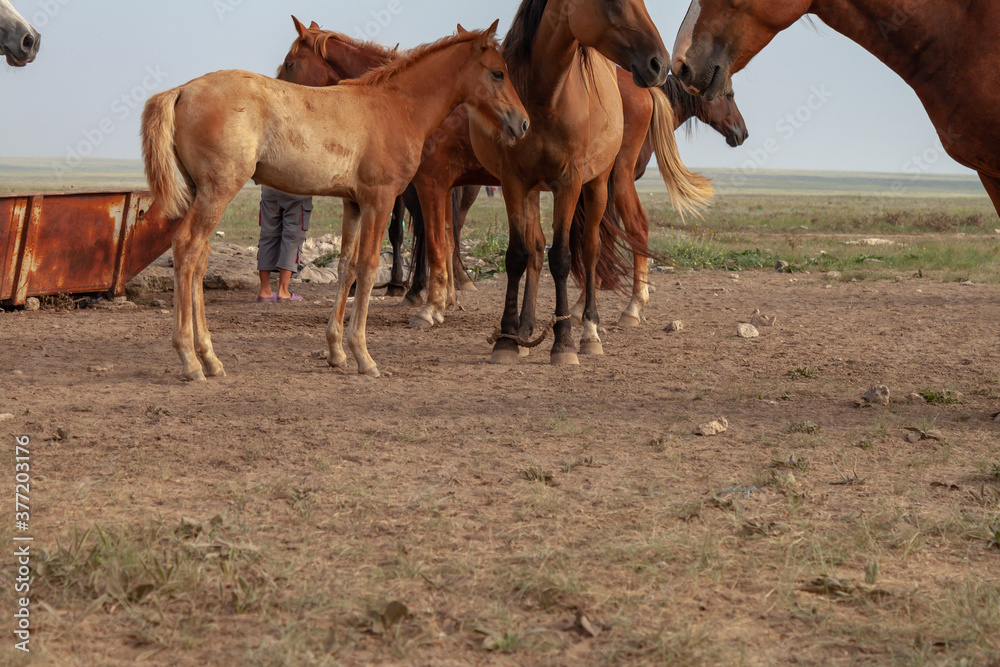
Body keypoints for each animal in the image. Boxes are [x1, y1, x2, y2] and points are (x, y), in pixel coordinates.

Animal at [141, 24, 529, 380]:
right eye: (498, 73)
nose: (523, 123)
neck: (395, 107)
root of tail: (181, 91)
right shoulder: (380, 200)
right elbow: (369, 268)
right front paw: (364, 356)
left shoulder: (353, 204)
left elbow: (347, 267)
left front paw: (336, 351)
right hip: (218, 191)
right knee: (187, 247)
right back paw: (191, 361)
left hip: (202, 193)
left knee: (199, 258)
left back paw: (210, 358)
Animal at [469, 0, 714, 365]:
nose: (659, 63)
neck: (544, 97)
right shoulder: (513, 181)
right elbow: (517, 255)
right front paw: (507, 340)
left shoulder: (569, 182)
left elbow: (563, 258)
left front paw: (564, 343)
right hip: (533, 191)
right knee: (535, 250)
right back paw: (526, 329)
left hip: (597, 186)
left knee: (590, 249)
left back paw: (589, 332)